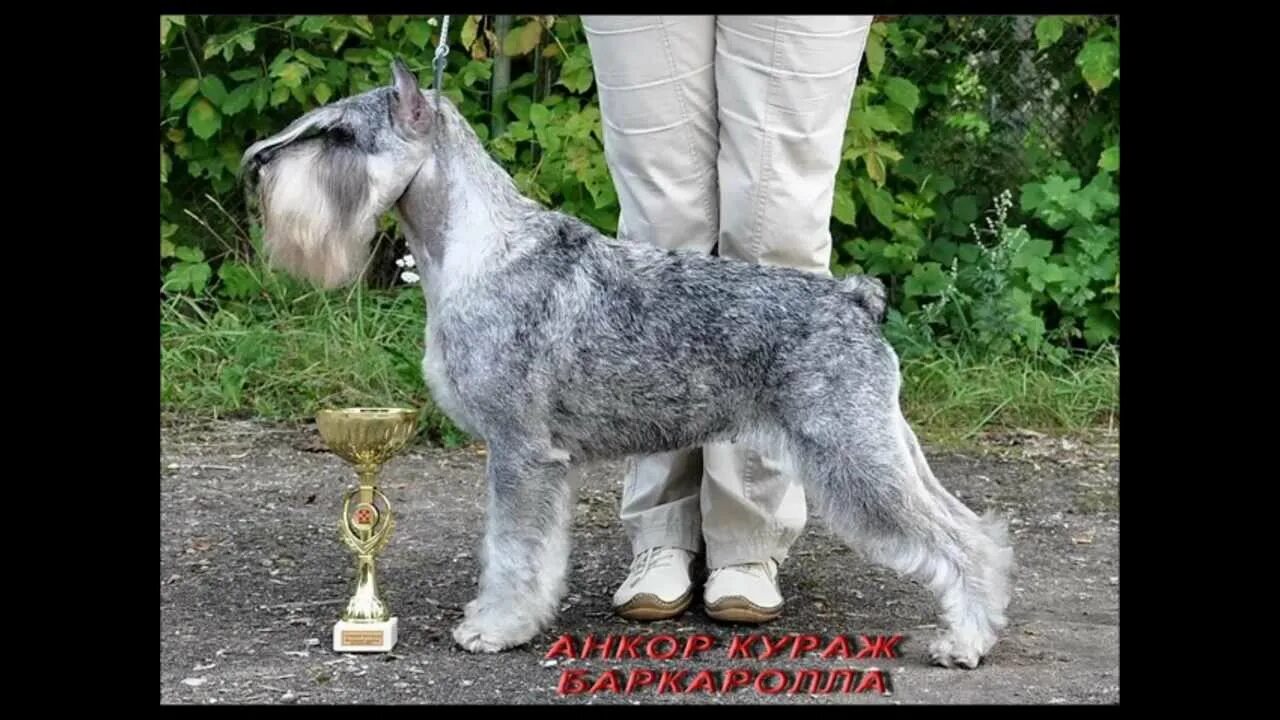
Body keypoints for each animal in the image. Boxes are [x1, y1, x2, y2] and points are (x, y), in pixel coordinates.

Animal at [244, 61, 1013, 666]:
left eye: (340, 135)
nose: (256, 166)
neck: (475, 247)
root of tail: (856, 299)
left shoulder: (520, 451)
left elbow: (512, 551)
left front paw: (496, 627)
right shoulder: (536, 459)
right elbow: (525, 550)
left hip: (854, 458)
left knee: (959, 540)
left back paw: (965, 642)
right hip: (886, 446)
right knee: (975, 527)